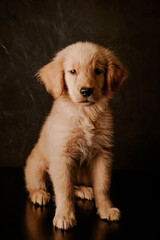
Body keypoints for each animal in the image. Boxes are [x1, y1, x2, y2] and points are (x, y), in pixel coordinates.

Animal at [24, 42, 127, 230]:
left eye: (98, 71)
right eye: (72, 71)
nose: (86, 91)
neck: (84, 113)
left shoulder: (102, 154)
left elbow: (102, 185)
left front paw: (106, 209)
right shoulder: (61, 156)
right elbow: (64, 189)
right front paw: (64, 216)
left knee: (75, 185)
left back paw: (83, 190)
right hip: (36, 165)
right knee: (36, 184)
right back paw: (40, 194)